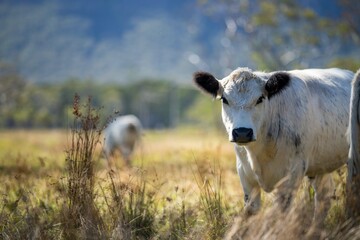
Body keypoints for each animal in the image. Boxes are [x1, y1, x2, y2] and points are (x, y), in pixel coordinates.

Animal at [193, 67, 352, 219]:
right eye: (224, 99)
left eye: (260, 98)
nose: (243, 132)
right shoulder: (245, 176)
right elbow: (251, 211)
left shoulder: (292, 175)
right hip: (319, 167)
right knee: (324, 196)